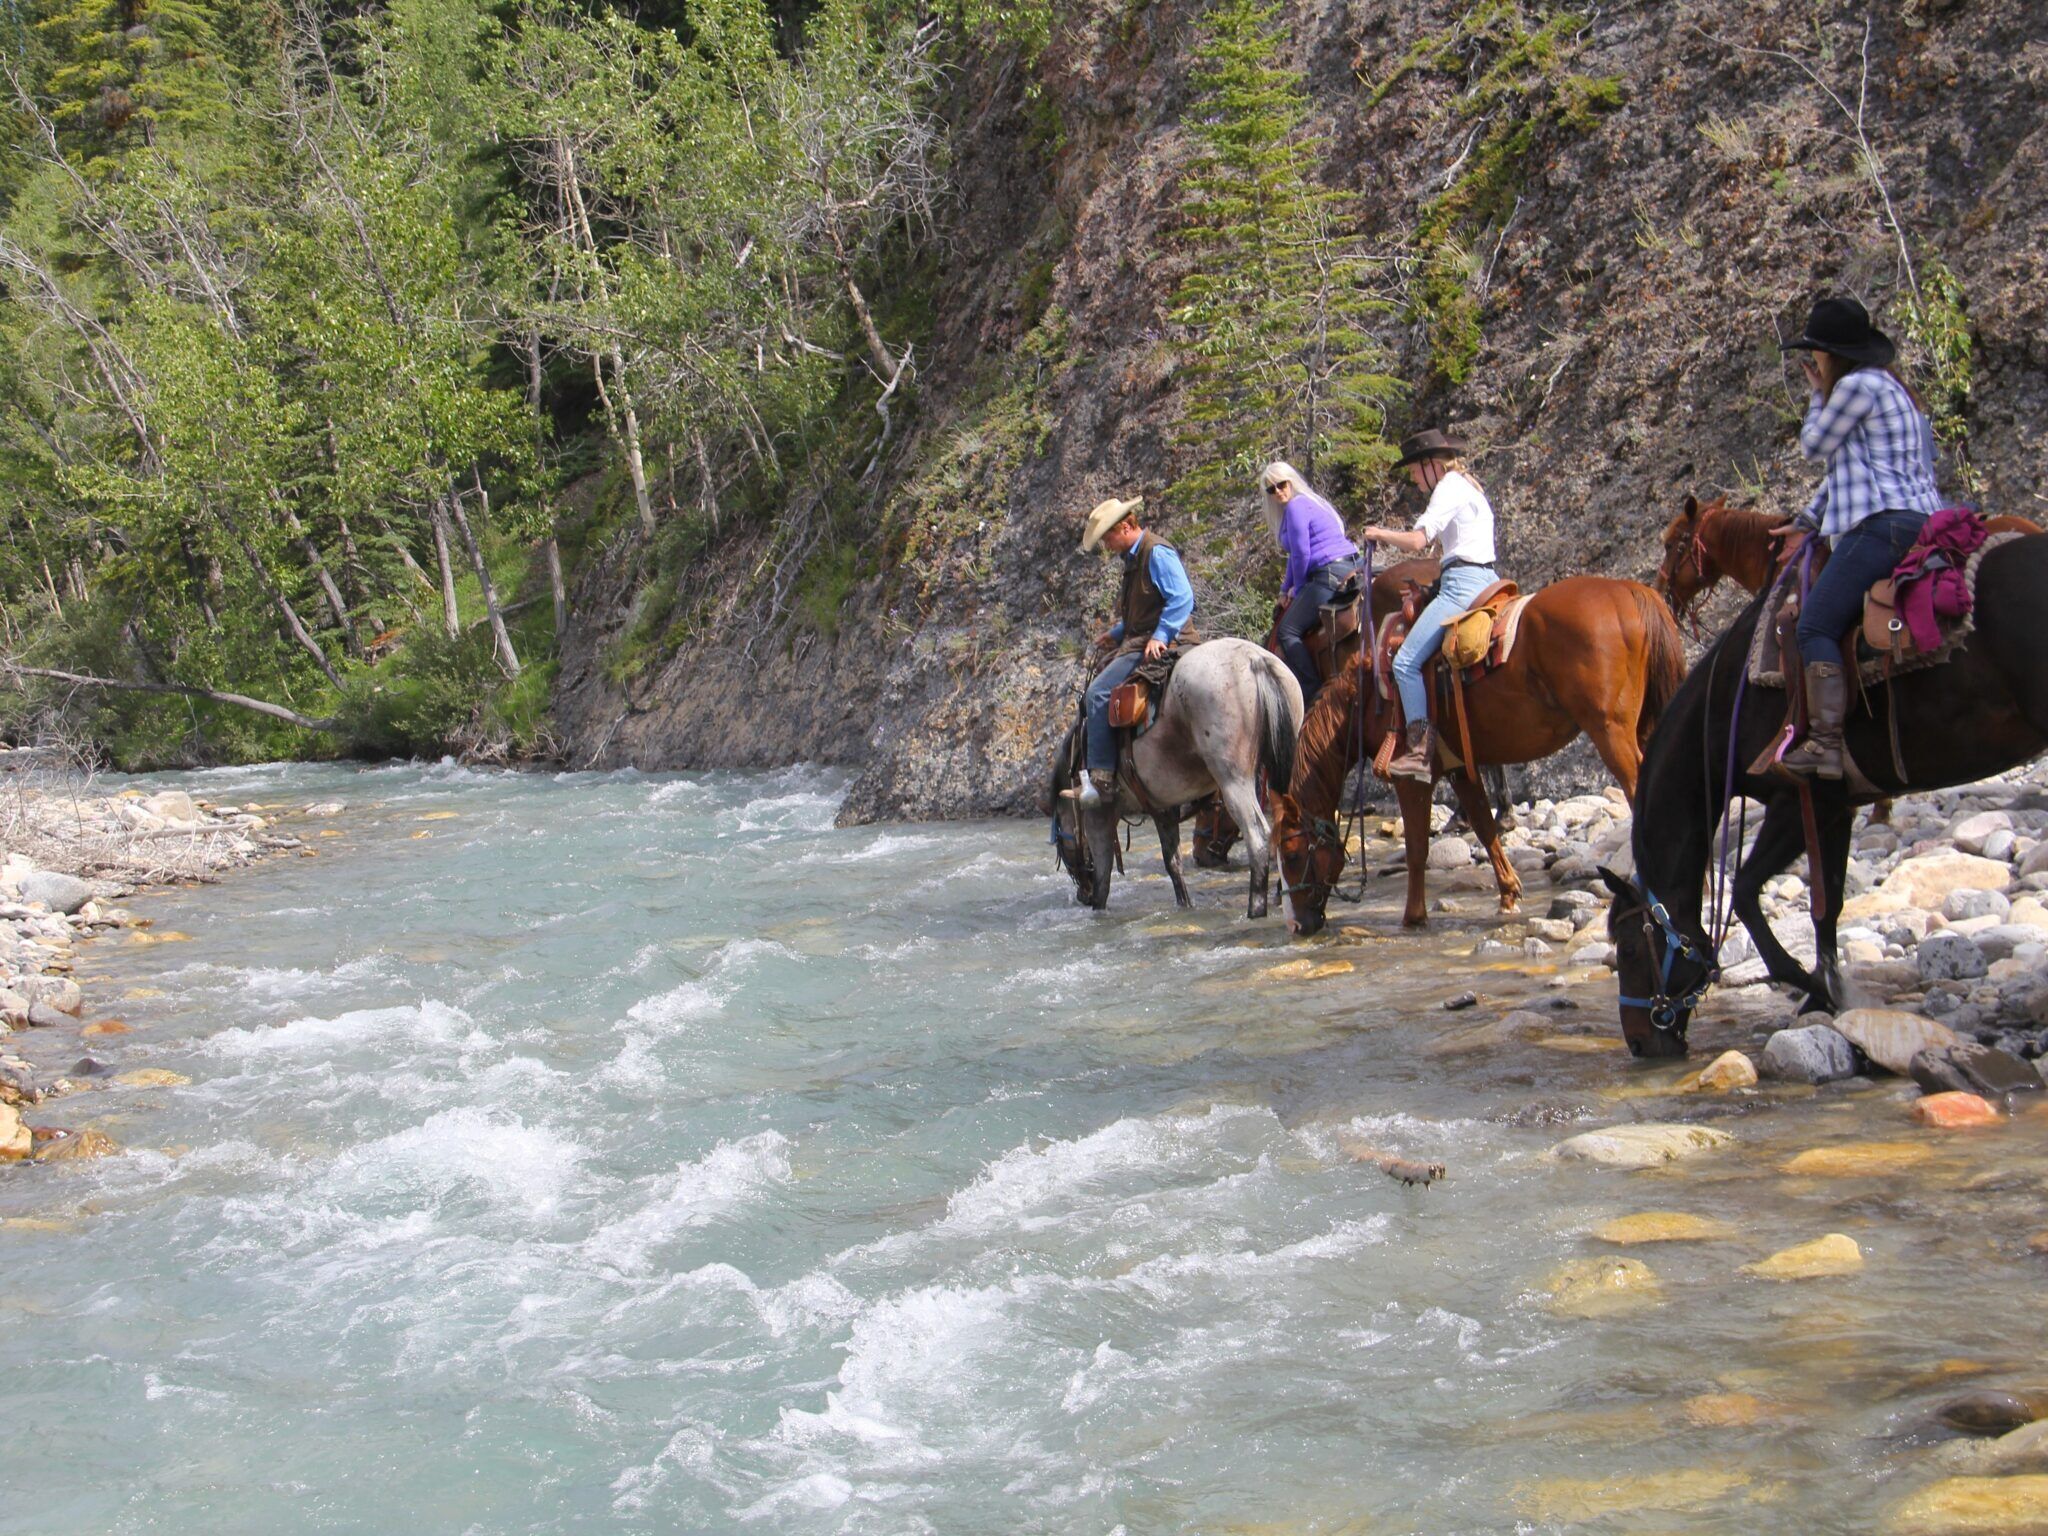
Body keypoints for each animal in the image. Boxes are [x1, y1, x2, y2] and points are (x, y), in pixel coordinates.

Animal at [1047, 637, 1302, 918]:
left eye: (1060, 839)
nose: (1082, 894)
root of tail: (1254, 659)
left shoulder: (1098, 815)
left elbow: (1103, 878)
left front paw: (1098, 913)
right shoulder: (1163, 809)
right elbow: (1173, 864)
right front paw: (1185, 905)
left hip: (1234, 781)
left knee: (1258, 837)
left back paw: (1255, 910)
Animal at [1273, 576, 1686, 936]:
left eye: (1291, 855)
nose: (1295, 926)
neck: (1367, 699)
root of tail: (1631, 591)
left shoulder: (1411, 780)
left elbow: (1417, 848)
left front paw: (1412, 918)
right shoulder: (1459, 769)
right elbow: (1485, 828)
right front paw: (1508, 894)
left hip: (1610, 730)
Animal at [1605, 531, 2048, 1058]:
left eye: (1630, 948)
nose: (1639, 1043)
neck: (1727, 710)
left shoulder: (1796, 805)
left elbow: (1748, 892)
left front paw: (1819, 988)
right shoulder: (1836, 809)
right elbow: (1827, 905)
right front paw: (1826, 990)